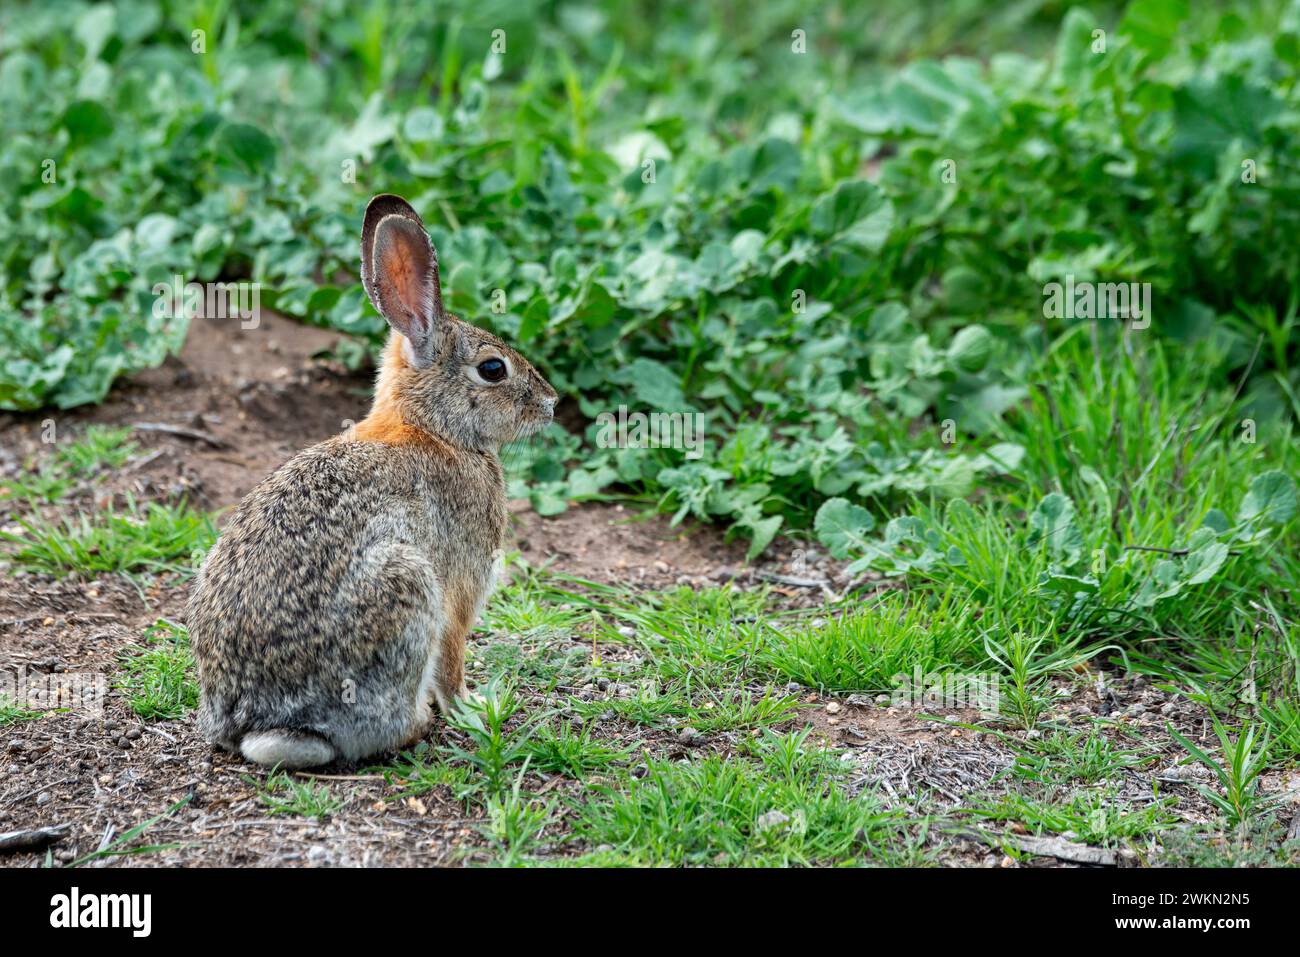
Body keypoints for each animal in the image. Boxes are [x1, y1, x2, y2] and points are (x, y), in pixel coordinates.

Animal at [188, 195, 559, 769]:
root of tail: (254, 720)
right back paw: (417, 723)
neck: (432, 427)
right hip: (405, 587)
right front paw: (474, 708)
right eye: (493, 369)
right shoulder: (459, 590)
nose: (551, 403)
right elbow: (453, 659)